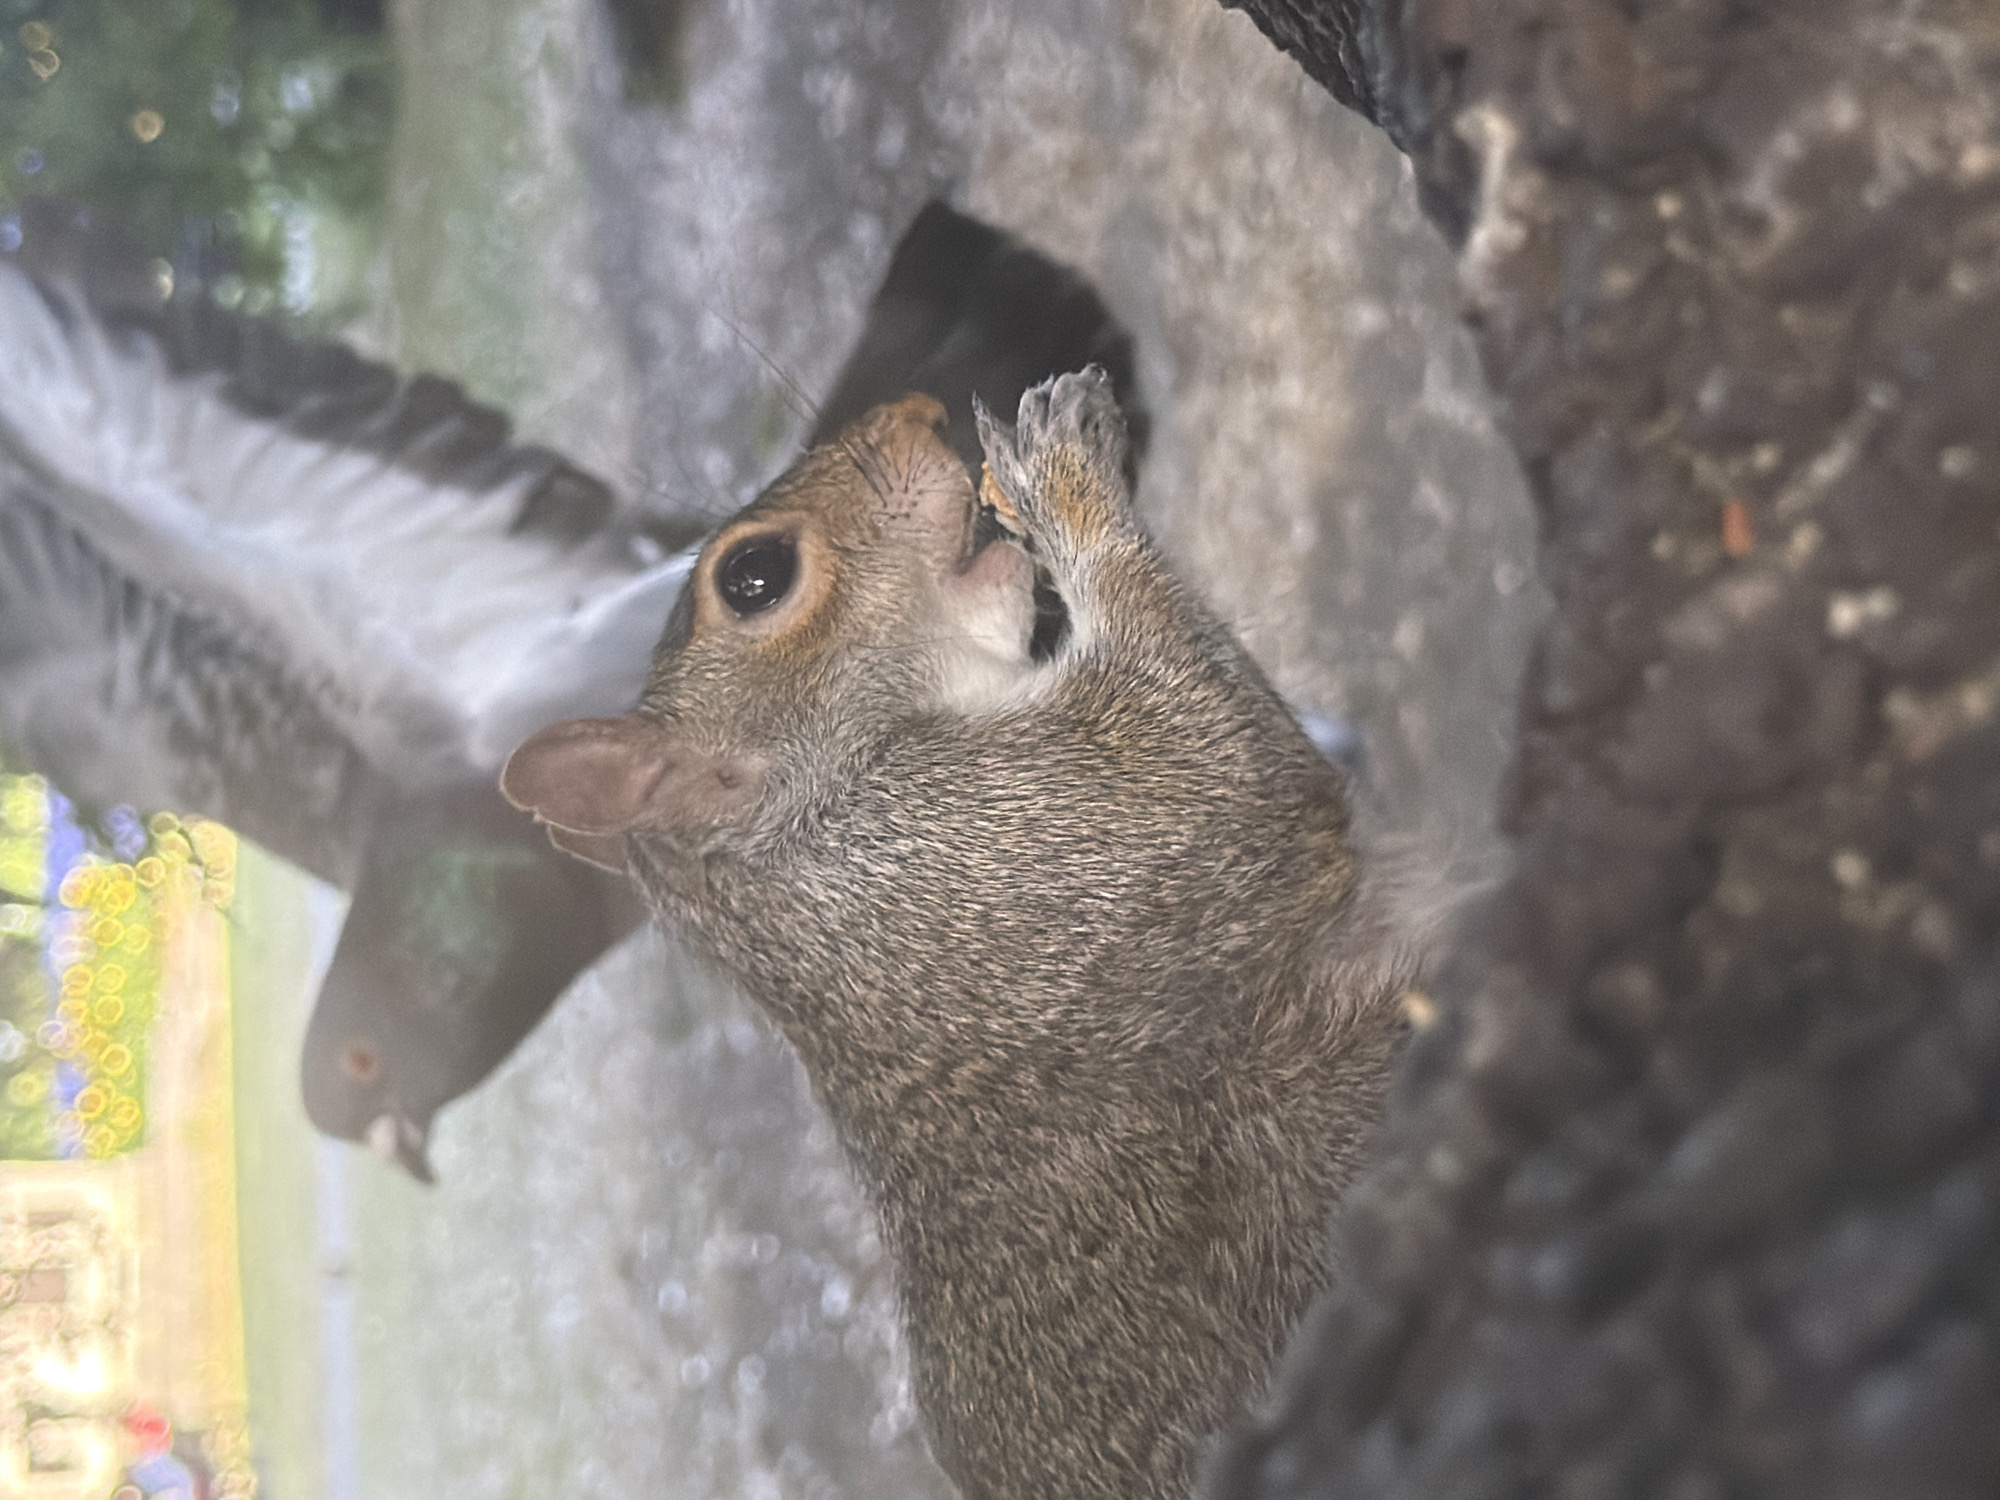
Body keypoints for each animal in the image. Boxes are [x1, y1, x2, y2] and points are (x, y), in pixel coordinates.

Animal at [501, 370, 1408, 1499]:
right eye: (754, 578)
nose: (918, 408)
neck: (808, 842)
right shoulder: (1025, 843)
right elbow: (1211, 745)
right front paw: (1065, 472)